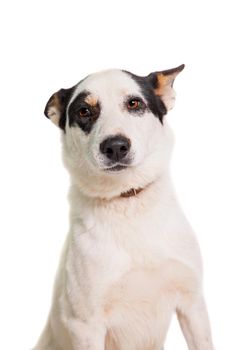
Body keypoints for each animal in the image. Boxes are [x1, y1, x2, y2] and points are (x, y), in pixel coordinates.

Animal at [33, 65, 214, 350]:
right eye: (84, 111)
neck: (127, 201)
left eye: (134, 103)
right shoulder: (86, 325)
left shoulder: (192, 303)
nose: (115, 146)